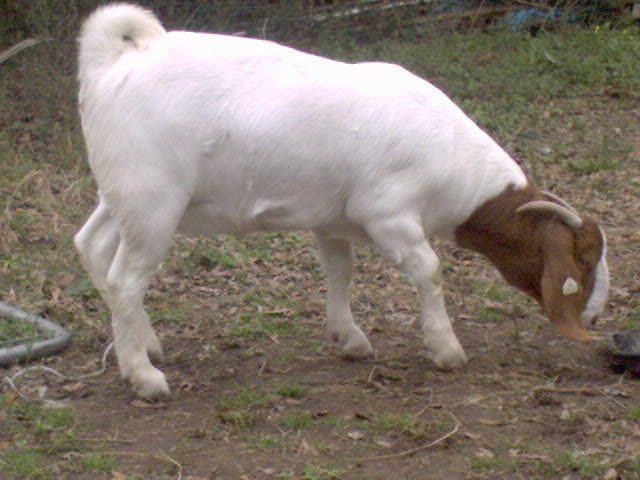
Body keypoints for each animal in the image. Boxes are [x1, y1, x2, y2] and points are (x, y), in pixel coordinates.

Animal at [75, 4, 609, 399]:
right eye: (582, 262)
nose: (594, 318)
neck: (452, 160)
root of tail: (111, 63)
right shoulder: (388, 214)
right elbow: (430, 271)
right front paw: (446, 349)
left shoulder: (331, 218)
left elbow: (341, 271)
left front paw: (349, 338)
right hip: (152, 199)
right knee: (125, 278)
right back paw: (144, 377)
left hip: (123, 194)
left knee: (93, 246)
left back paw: (146, 344)